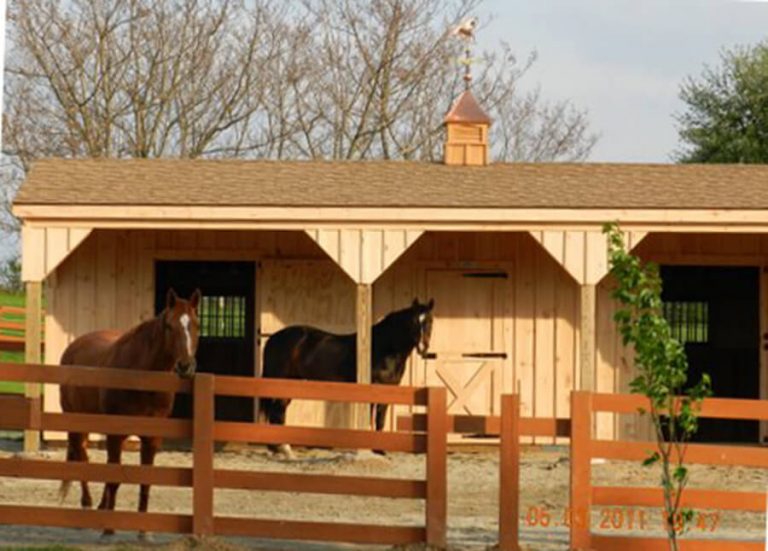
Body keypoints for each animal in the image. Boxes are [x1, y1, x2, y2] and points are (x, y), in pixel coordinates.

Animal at [58, 288, 200, 536]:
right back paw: (86, 507)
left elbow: (144, 480)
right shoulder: (115, 433)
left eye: (195, 324)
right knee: (81, 456)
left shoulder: (152, 438)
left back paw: (101, 506)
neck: (140, 377)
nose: (185, 366)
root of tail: (74, 347)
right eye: (169, 326)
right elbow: (115, 478)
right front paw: (109, 529)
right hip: (75, 420)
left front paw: (143, 531)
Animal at [259, 298, 434, 456]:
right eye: (413, 321)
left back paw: (282, 448)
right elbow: (370, 419)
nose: (422, 348)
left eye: (430, 321)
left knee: (279, 411)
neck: (385, 347)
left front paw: (380, 450)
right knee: (276, 412)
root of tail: (273, 338)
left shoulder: (388, 390)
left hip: (291, 382)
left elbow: (380, 419)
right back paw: (281, 448)